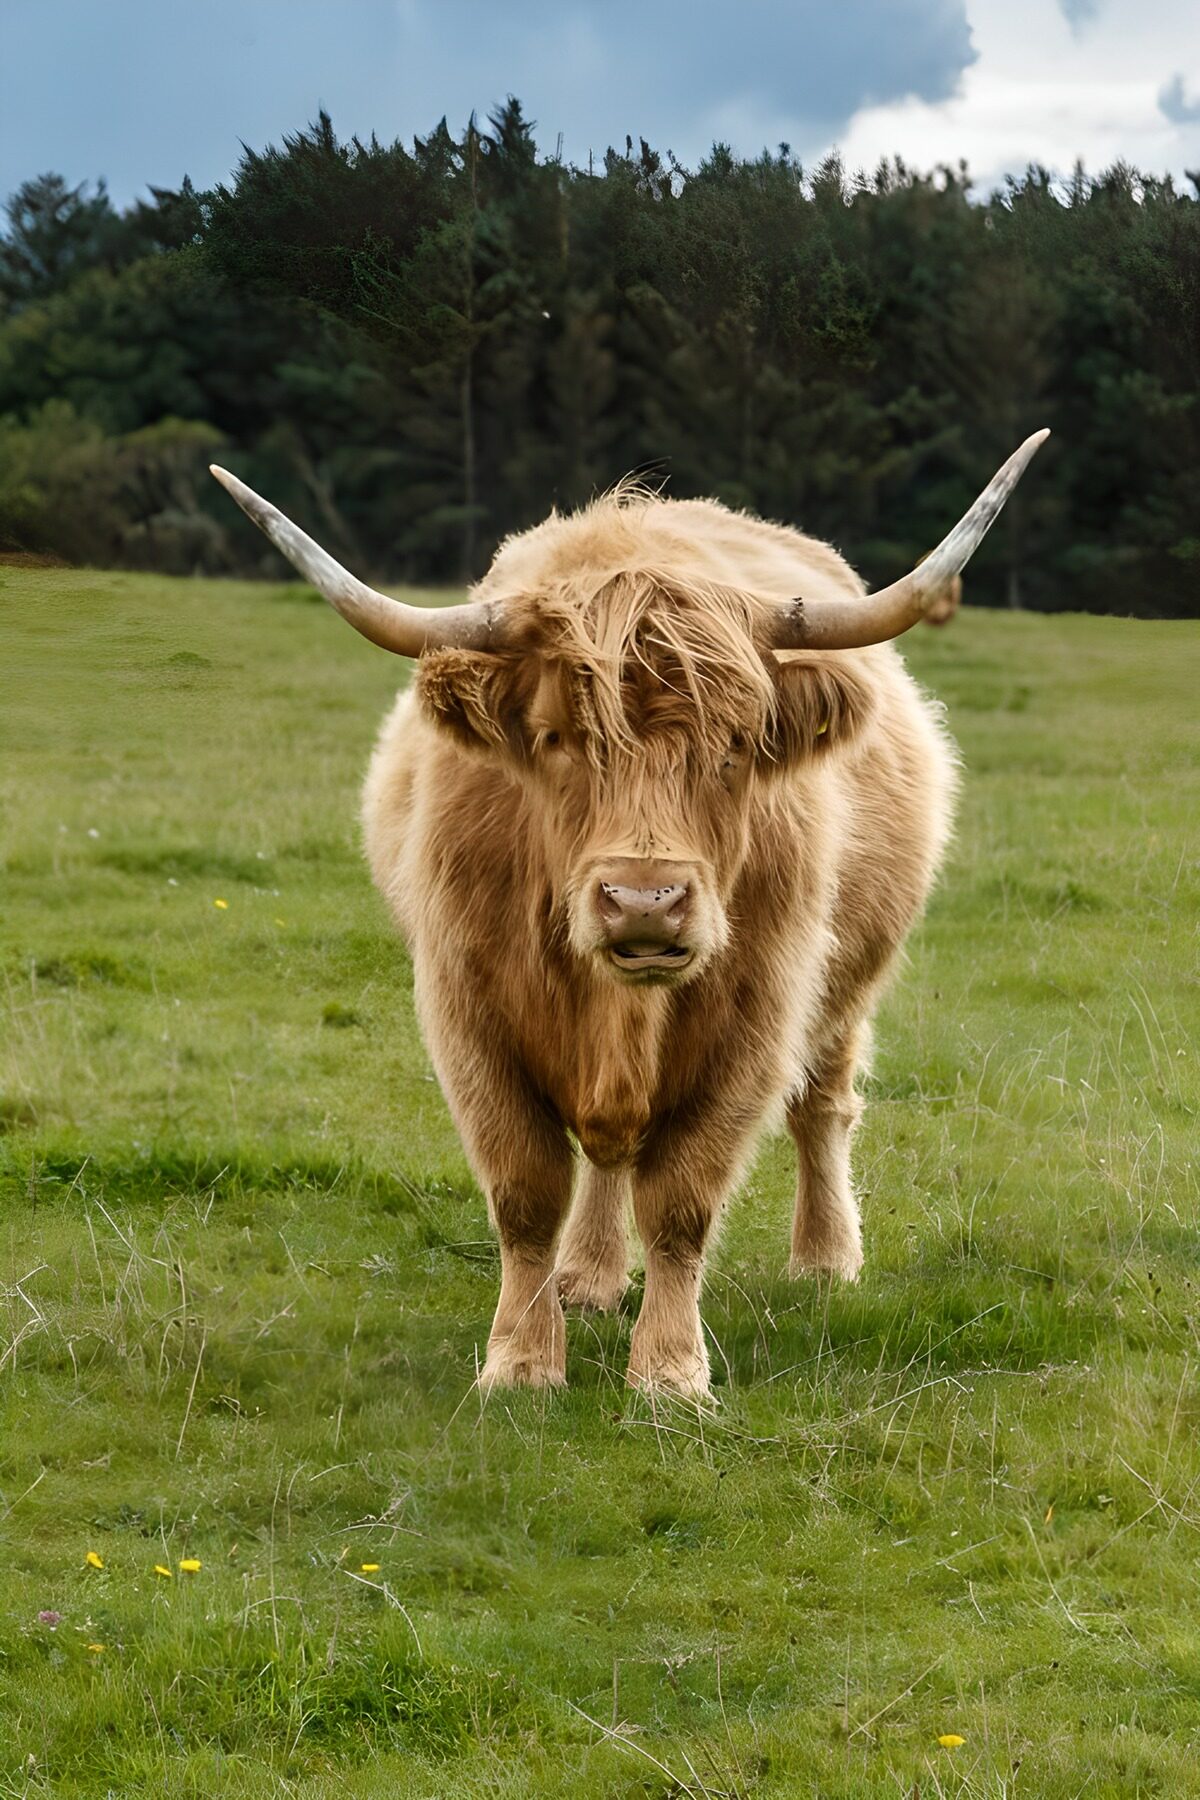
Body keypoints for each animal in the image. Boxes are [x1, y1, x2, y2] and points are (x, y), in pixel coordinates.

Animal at [212, 432, 1047, 1397]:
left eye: (735, 745)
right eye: (554, 738)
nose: (645, 902)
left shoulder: (756, 1020)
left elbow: (683, 1199)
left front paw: (671, 1372)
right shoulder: (468, 1014)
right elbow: (525, 1192)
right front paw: (521, 1360)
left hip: (848, 984)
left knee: (822, 1106)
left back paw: (825, 1258)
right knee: (610, 1150)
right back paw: (587, 1277)